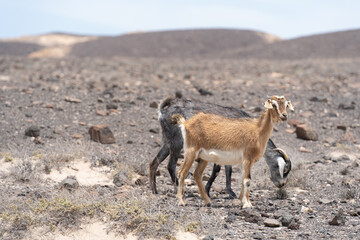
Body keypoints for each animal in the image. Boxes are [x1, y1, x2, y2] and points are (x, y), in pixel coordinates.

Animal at [148, 95, 292, 197]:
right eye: (282, 169)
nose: (281, 184)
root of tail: (164, 110)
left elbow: (228, 170)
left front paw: (230, 192)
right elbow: (217, 170)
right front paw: (207, 191)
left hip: (167, 141)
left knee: (154, 162)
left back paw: (154, 190)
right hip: (177, 141)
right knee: (171, 165)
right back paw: (178, 189)